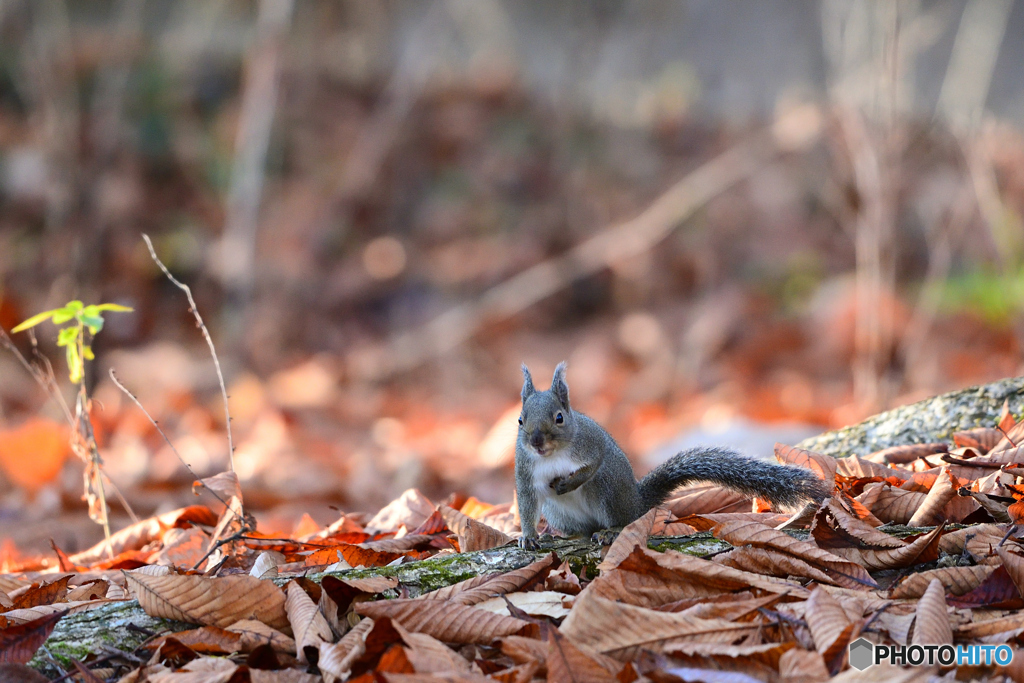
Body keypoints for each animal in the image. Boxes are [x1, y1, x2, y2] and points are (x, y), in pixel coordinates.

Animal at [516, 362, 827, 548]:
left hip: (609, 490)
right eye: (520, 420)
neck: (551, 456)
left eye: (559, 418)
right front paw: (529, 537)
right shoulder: (525, 470)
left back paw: (610, 530)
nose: (536, 441)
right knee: (580, 527)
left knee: (619, 517)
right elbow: (527, 501)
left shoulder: (592, 444)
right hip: (558, 512)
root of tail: (637, 503)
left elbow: (592, 466)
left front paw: (569, 482)